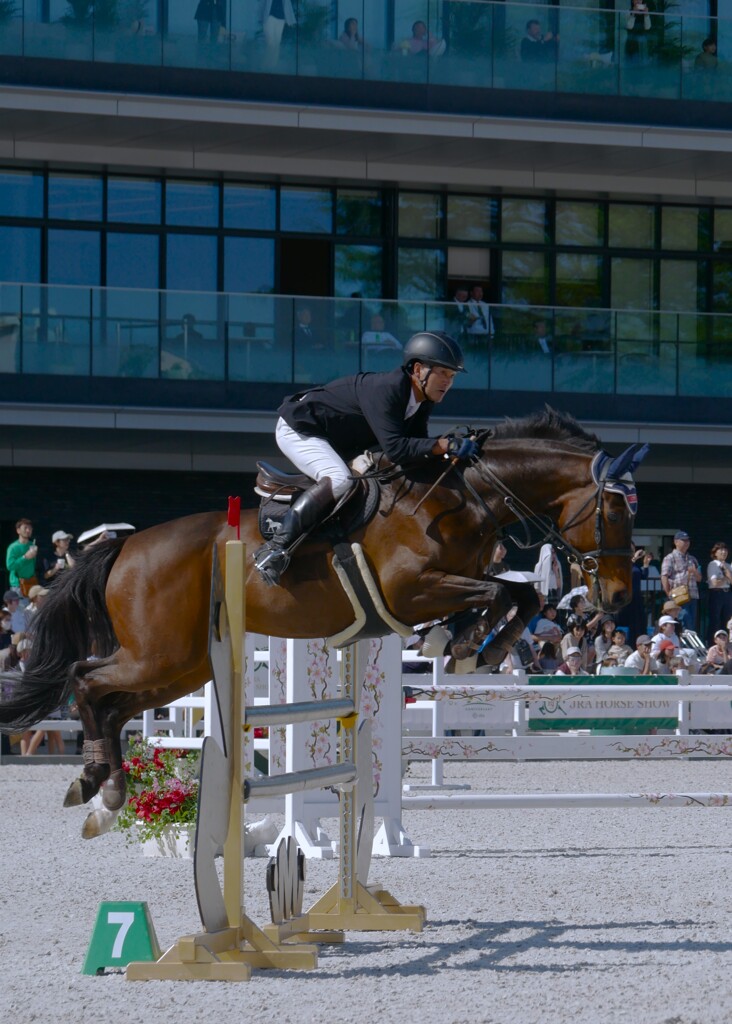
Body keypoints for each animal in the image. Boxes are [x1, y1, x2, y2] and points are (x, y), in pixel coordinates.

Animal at [0, 407, 647, 839]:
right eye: (615, 510)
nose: (617, 597)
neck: (467, 497)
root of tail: (125, 546)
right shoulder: (412, 590)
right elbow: (505, 590)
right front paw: (471, 643)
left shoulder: (443, 586)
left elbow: (520, 593)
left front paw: (468, 644)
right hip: (156, 655)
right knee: (86, 681)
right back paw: (100, 787)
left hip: (179, 666)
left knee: (111, 704)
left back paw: (101, 792)